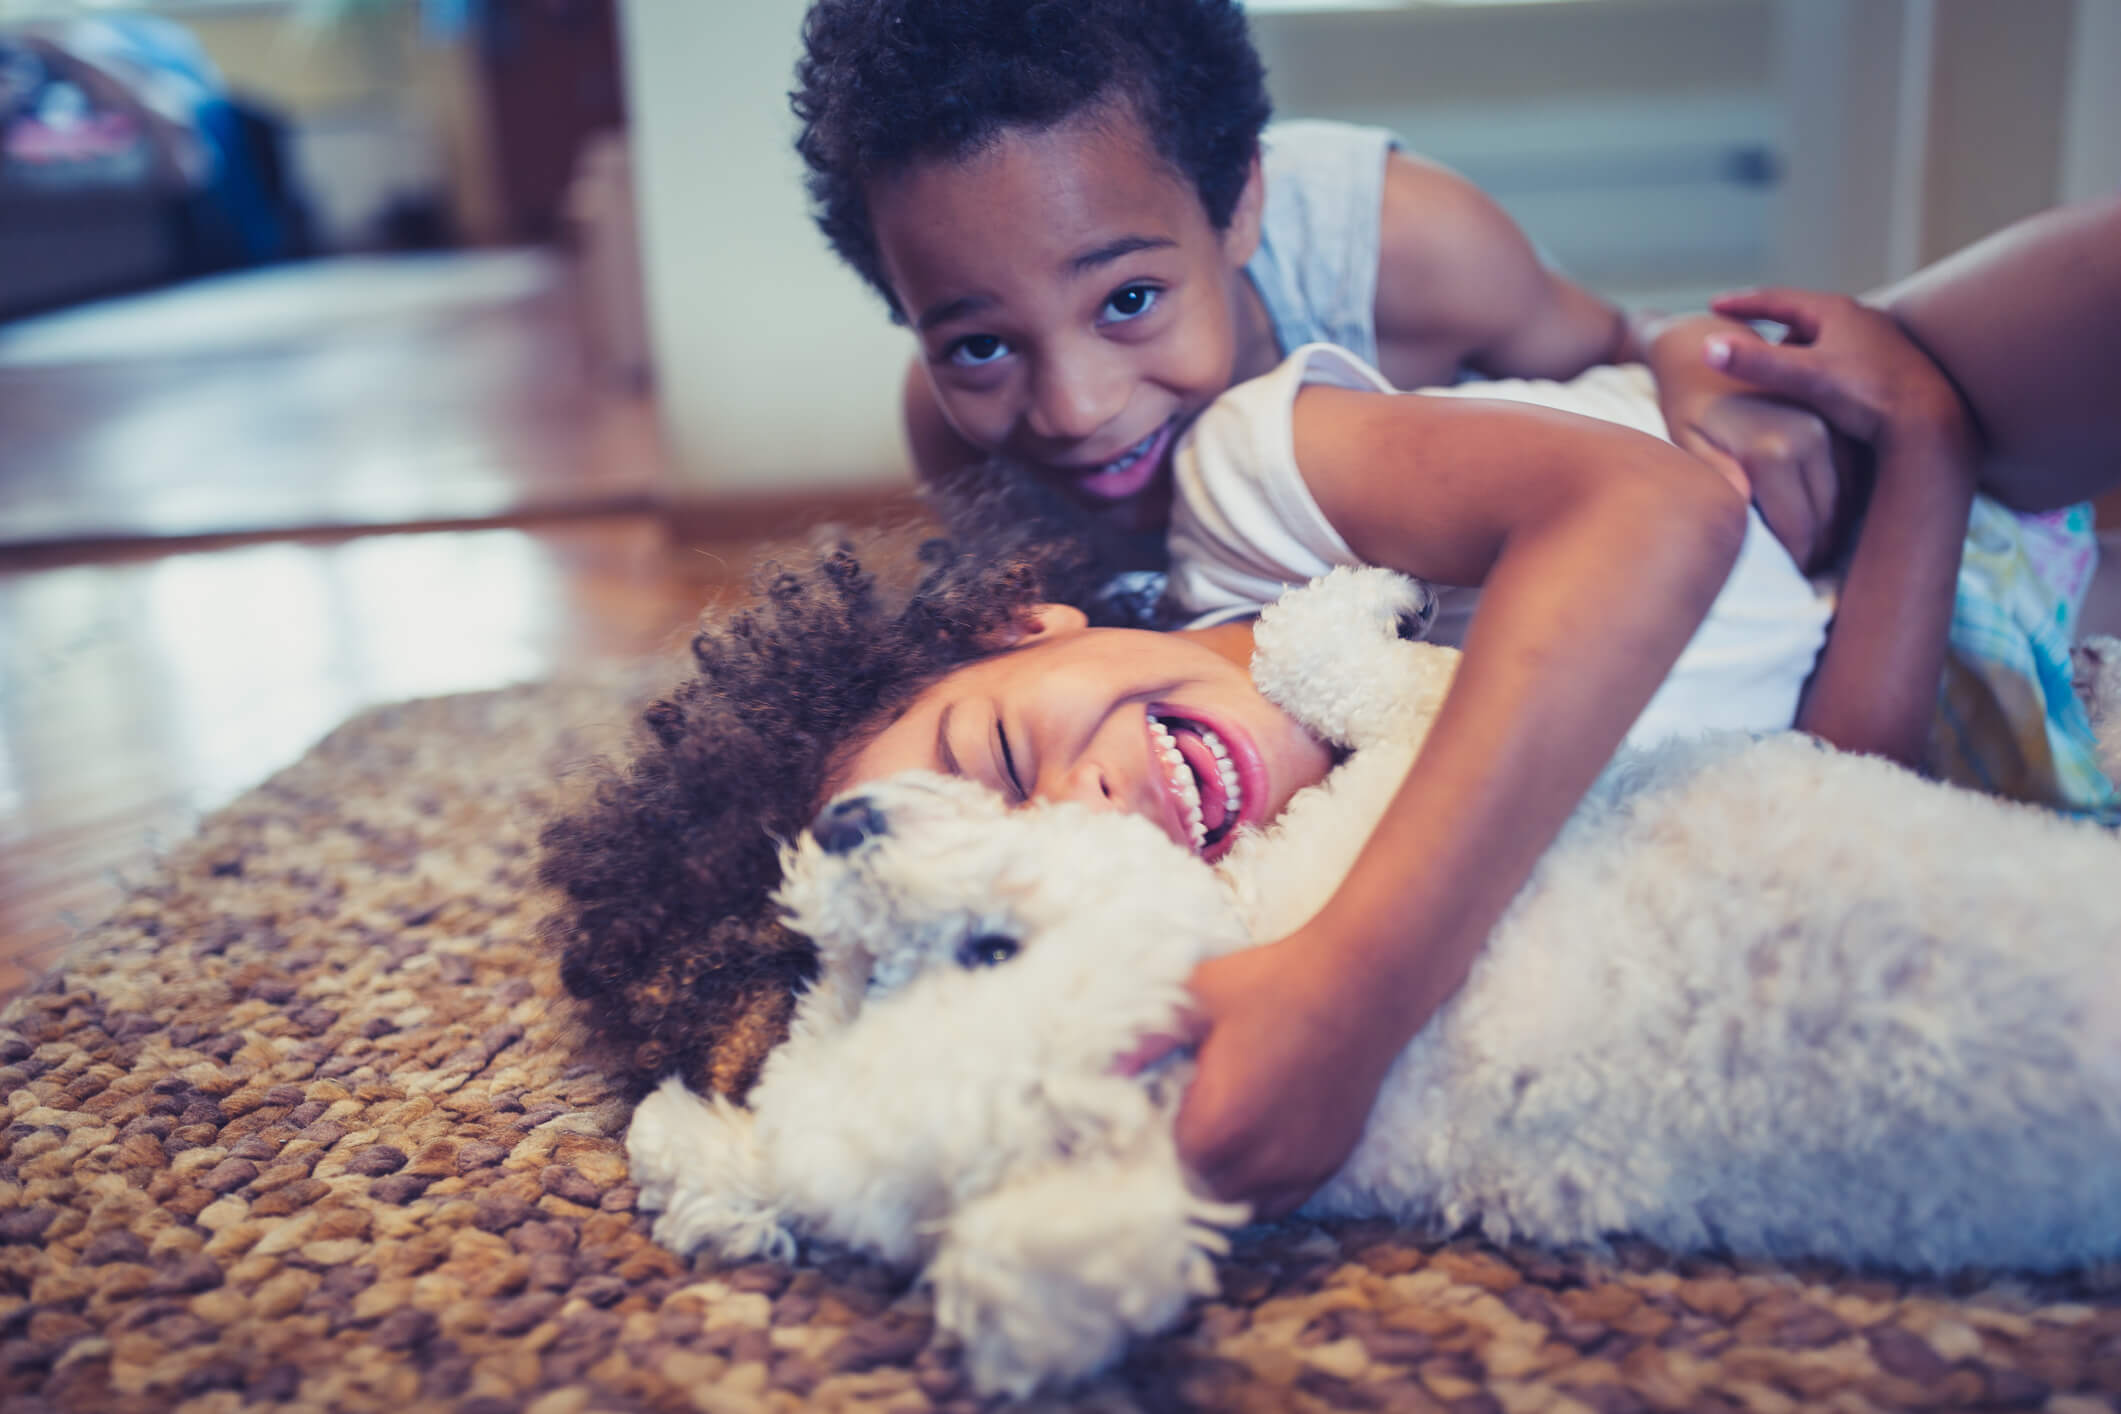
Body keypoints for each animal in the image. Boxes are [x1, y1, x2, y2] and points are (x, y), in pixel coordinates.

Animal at [619, 568, 2121, 1399]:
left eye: (952, 956)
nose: (843, 828)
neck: (1242, 942)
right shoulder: (1420, 795)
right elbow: (1369, 670)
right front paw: (1375, 596)